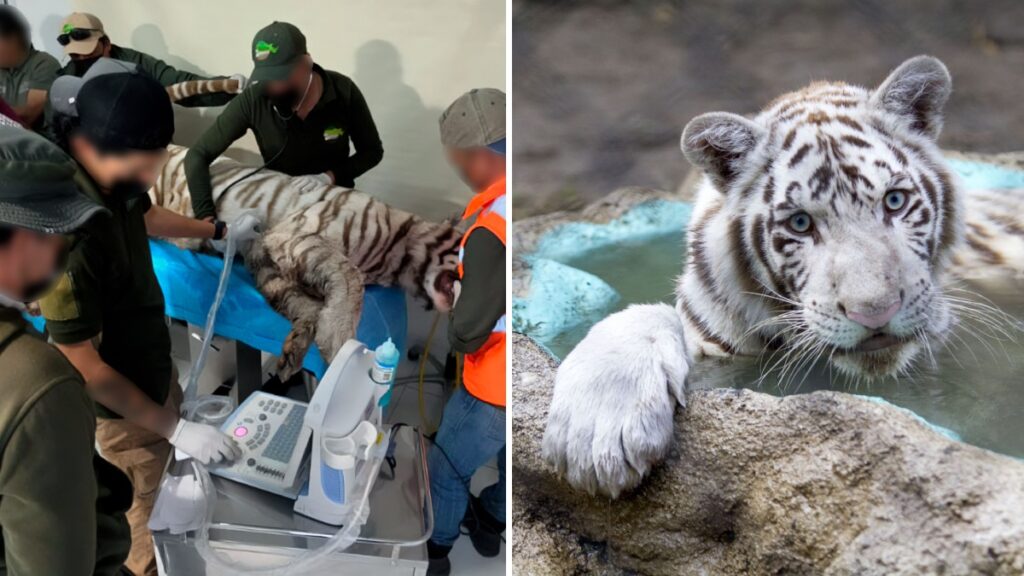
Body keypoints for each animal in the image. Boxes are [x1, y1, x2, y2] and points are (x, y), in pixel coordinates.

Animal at [149, 145, 461, 377]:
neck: (395, 261)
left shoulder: (266, 262)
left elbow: (301, 304)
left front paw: (295, 350)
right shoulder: (292, 235)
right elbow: (351, 278)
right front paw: (338, 343)